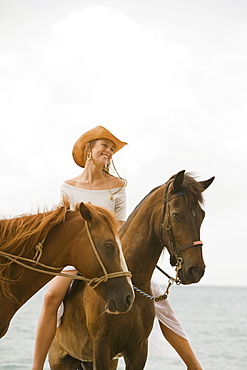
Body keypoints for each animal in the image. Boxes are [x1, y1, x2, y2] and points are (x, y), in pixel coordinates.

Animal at [48, 171, 214, 370]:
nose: (196, 270)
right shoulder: (101, 348)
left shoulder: (138, 350)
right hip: (61, 361)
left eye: (202, 216)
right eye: (176, 215)